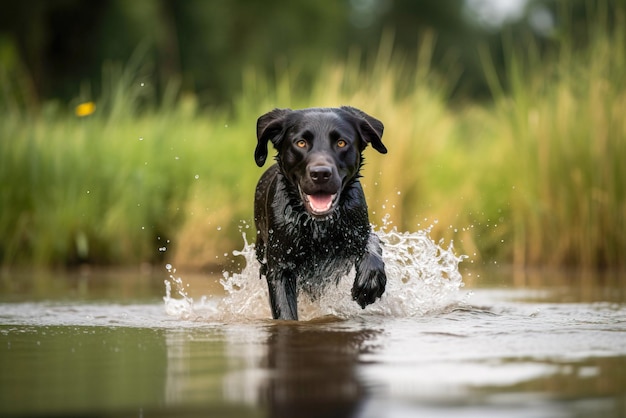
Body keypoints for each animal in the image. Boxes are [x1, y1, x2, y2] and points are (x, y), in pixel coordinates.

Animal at [254, 105, 386, 320]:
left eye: (341, 143)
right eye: (301, 142)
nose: (321, 174)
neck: (318, 228)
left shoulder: (358, 228)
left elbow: (372, 243)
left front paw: (369, 283)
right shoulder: (280, 267)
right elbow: (285, 311)